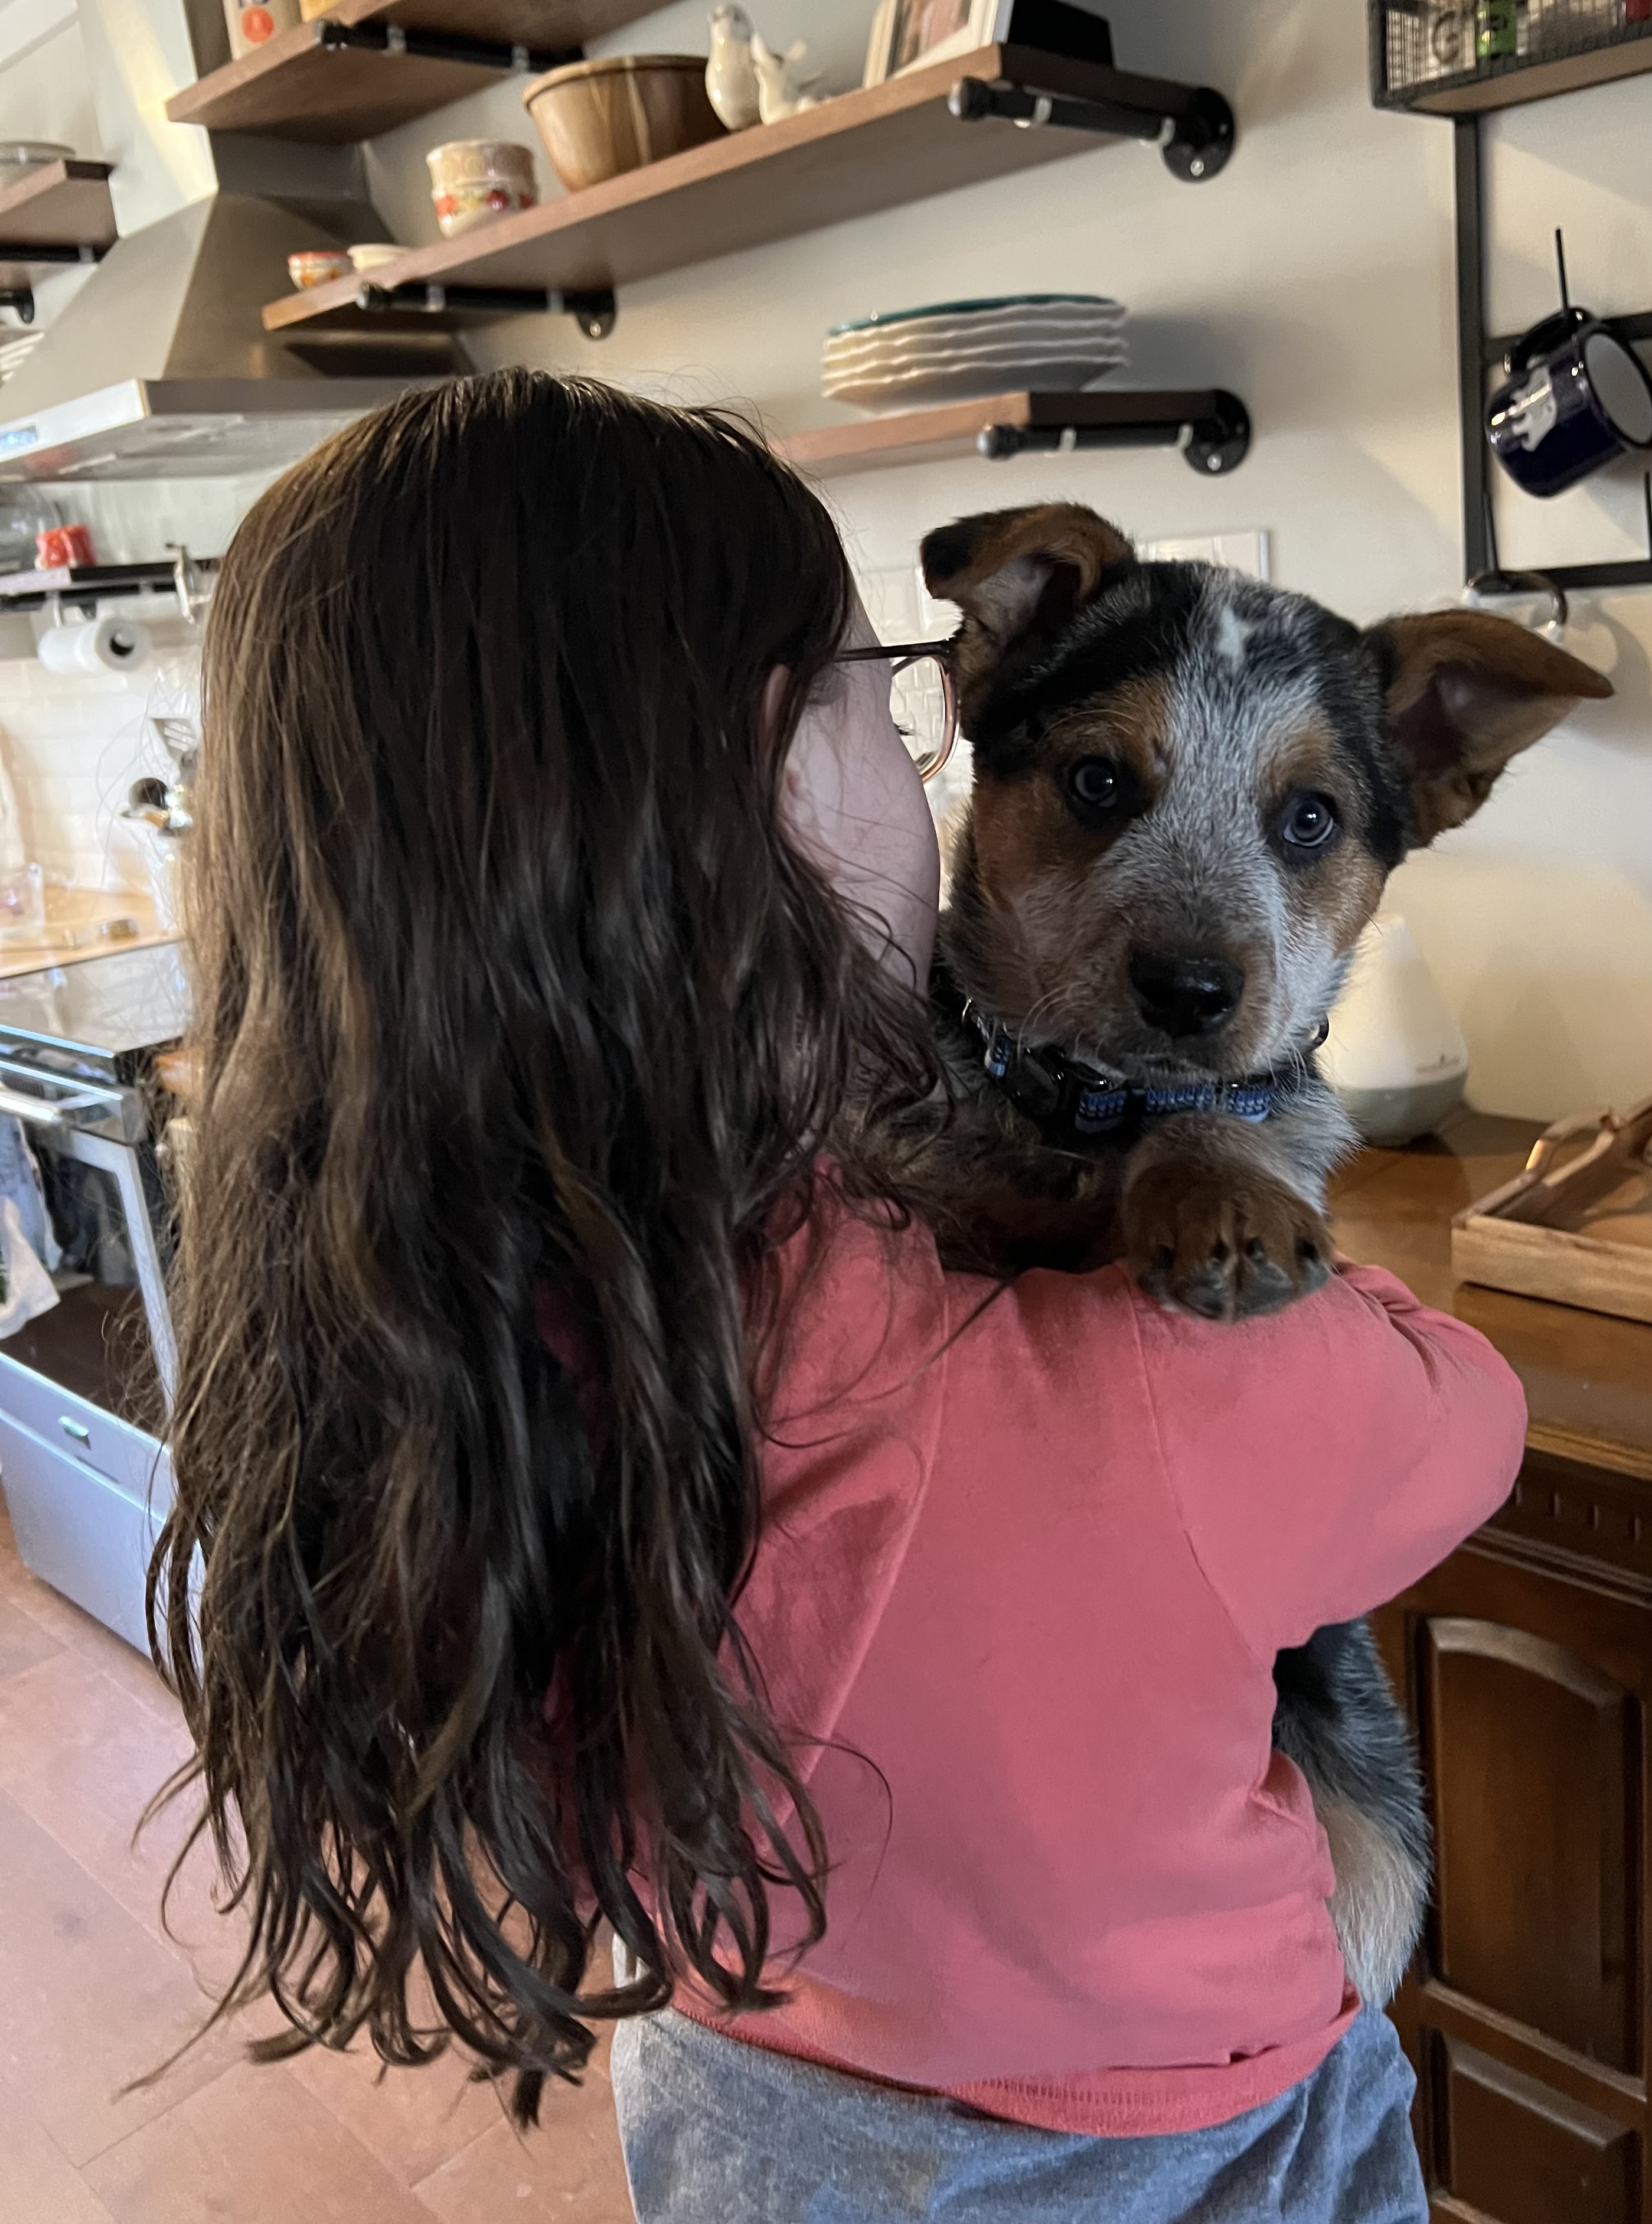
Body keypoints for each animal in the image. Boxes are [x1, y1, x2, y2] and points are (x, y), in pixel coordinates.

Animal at [897, 501, 1609, 2005]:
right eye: (1097, 781)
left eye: (1308, 817)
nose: (1188, 988)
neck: (1082, 1116)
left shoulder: (1261, 1102)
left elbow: (1237, 1113)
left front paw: (1216, 1193)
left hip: (1376, 1813)